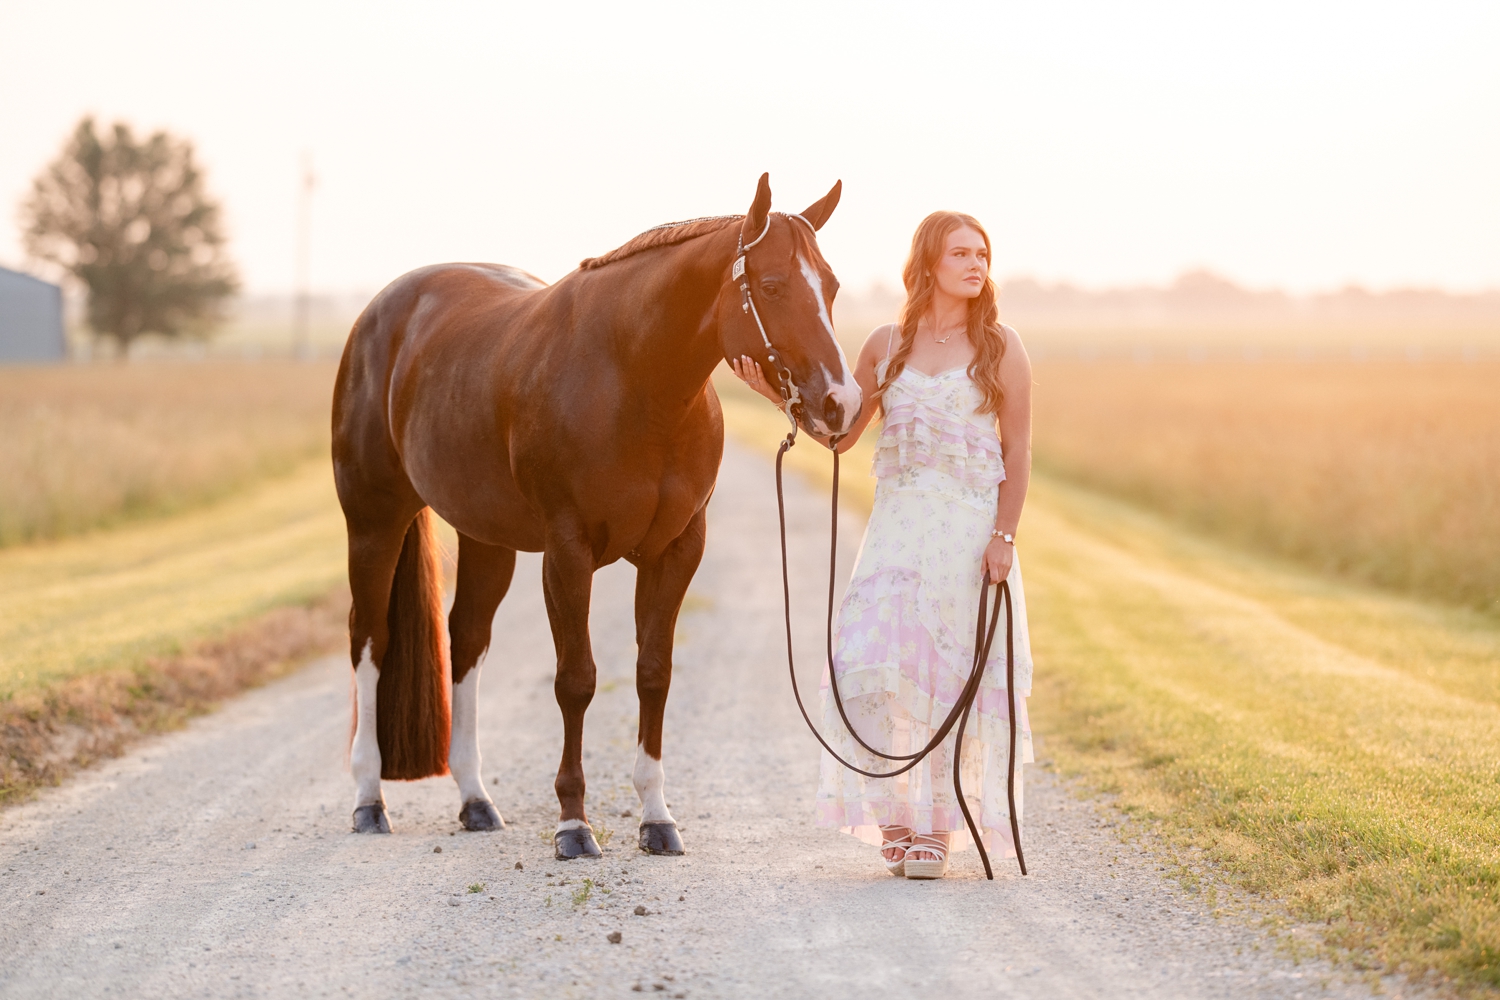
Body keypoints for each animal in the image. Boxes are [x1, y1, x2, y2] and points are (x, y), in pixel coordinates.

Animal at [331, 174, 859, 858]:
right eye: (772, 286)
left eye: (832, 286)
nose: (841, 402)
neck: (631, 378)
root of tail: (381, 313)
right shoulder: (568, 551)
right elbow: (576, 679)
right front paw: (574, 825)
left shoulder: (677, 550)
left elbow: (654, 674)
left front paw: (657, 819)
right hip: (374, 522)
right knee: (370, 640)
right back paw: (369, 800)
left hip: (487, 538)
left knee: (466, 639)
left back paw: (476, 801)